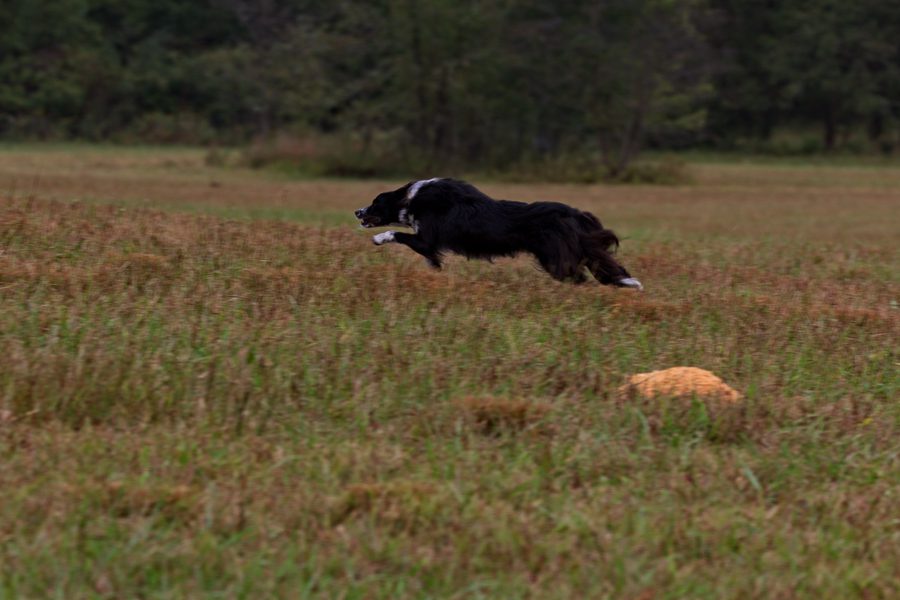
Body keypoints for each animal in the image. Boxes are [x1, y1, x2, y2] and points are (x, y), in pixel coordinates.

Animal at [352, 177, 640, 290]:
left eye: (375, 203)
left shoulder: (425, 238)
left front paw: (378, 239)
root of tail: (574, 213)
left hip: (556, 259)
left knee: (579, 277)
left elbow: (396, 234)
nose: (357, 211)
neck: (412, 199)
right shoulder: (428, 243)